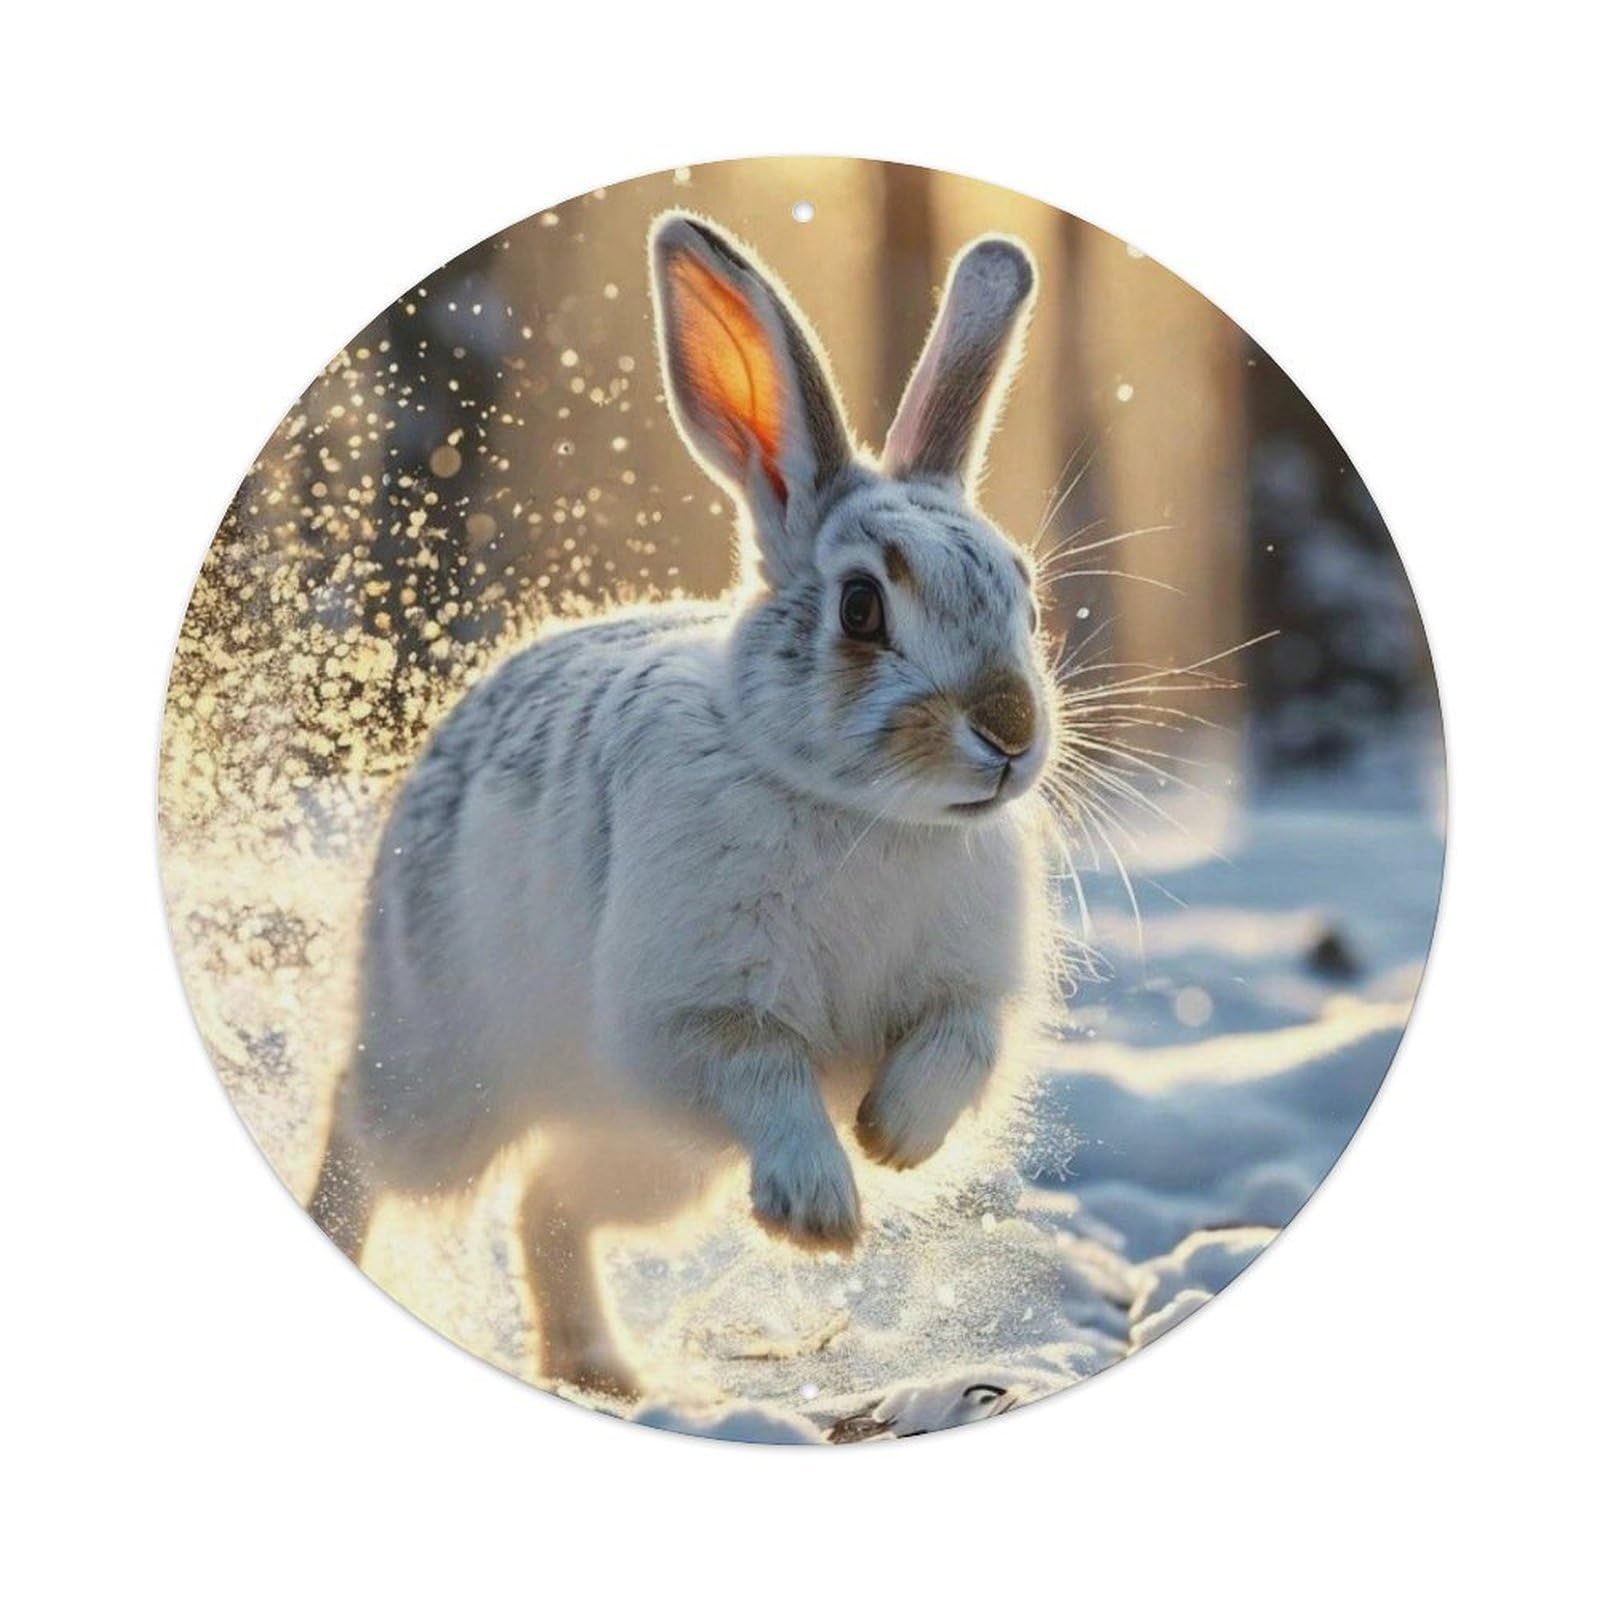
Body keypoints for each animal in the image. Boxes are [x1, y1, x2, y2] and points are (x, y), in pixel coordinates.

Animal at [309, 211, 1059, 1401]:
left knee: (549, 1202)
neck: (859, 808)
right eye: (861, 608)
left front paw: (890, 1138)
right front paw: (820, 1212)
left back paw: (604, 1374)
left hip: (649, 1156)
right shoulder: (693, 1011)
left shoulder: (965, 992)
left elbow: (956, 1049)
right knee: (366, 1127)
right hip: (451, 1073)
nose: (1011, 735)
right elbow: (763, 1066)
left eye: (1026, 598)